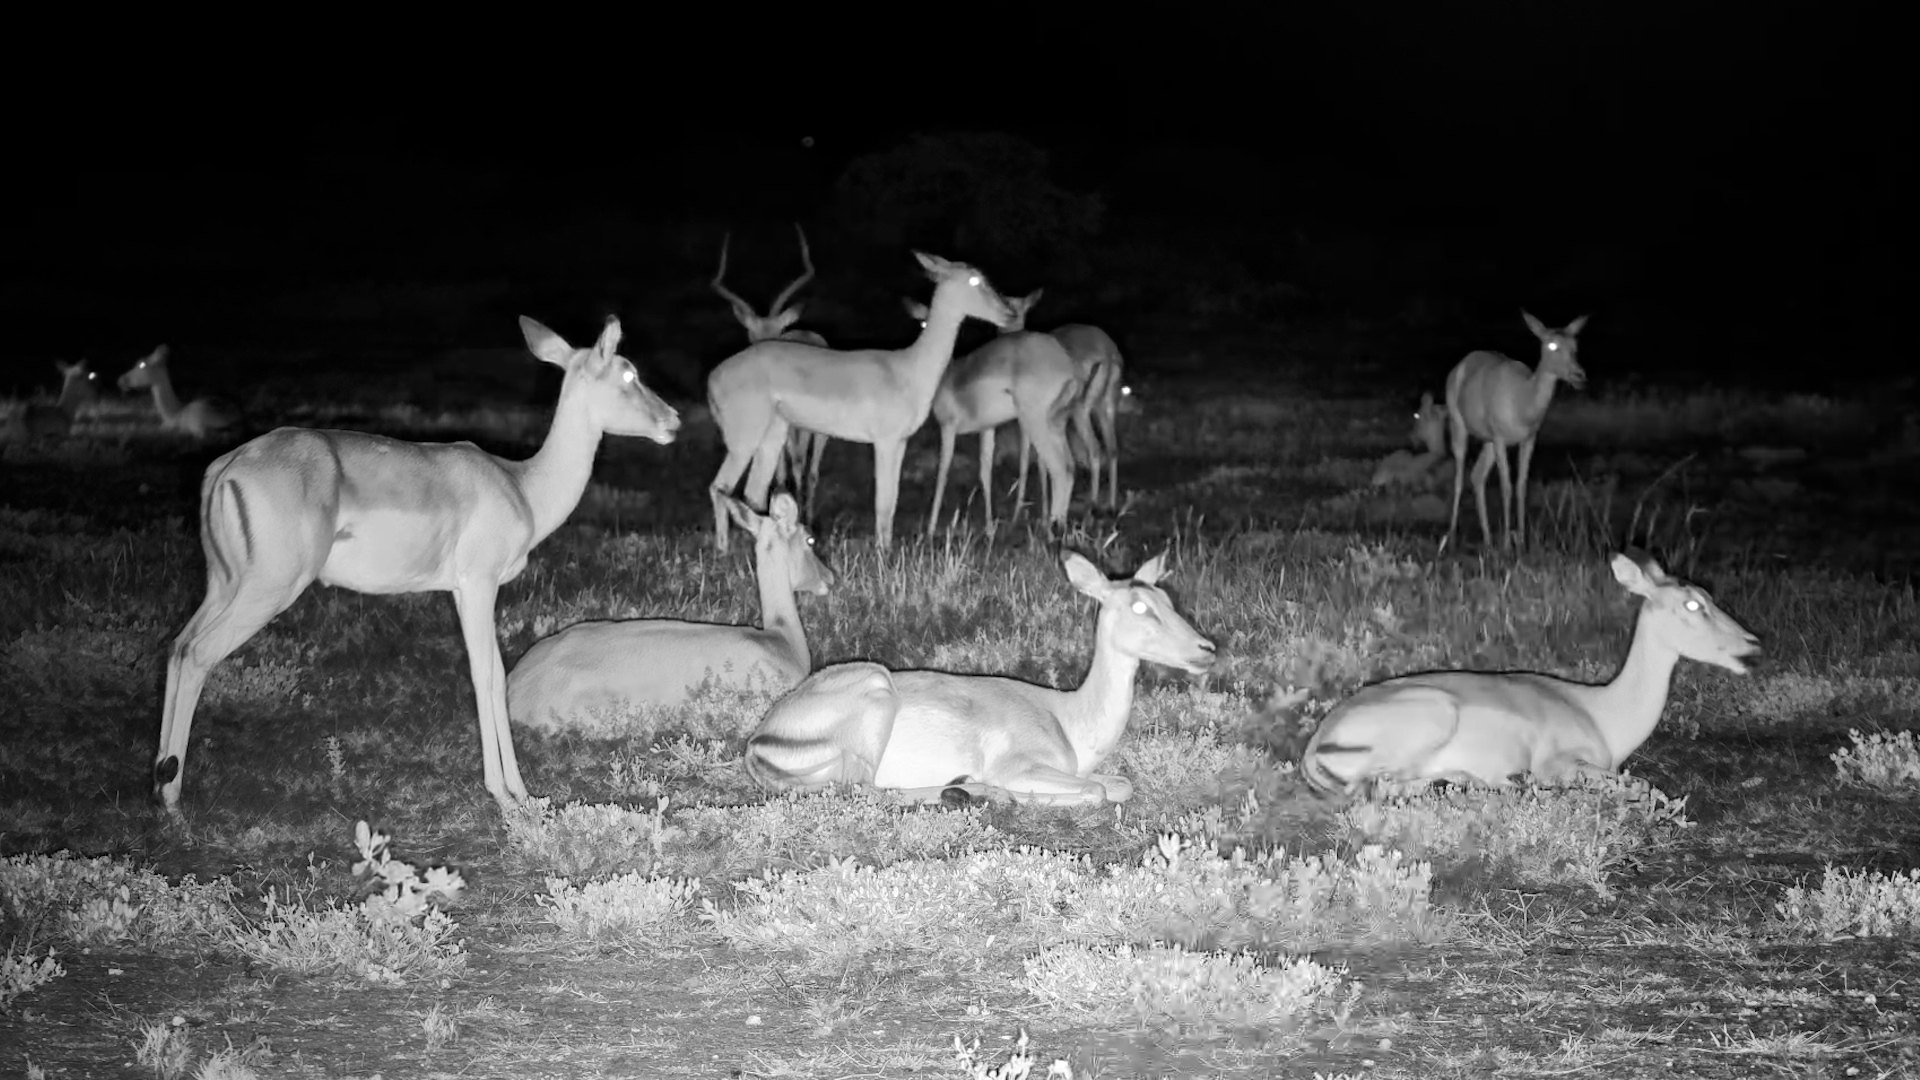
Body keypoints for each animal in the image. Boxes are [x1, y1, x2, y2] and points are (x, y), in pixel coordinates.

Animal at [743, 550, 1216, 806]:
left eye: (1167, 599)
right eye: (1139, 606)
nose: (1206, 650)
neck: (1068, 718)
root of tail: (759, 739)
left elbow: (1119, 785)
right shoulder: (1021, 766)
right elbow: (1094, 793)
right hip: (875, 695)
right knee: (865, 790)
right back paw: (969, 790)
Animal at [1302, 553, 1758, 794]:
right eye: (1693, 604)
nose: (1751, 643)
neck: (1603, 713)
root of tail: (1319, 742)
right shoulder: (1558, 762)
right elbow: (1642, 786)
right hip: (1434, 716)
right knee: (1383, 784)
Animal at [1440, 312, 1588, 551]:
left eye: (1575, 345)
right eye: (1552, 345)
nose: (1579, 376)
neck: (1523, 402)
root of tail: (1459, 366)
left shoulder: (1528, 440)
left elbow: (1521, 486)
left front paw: (1521, 543)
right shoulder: (1501, 439)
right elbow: (1506, 487)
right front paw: (1507, 546)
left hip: (1488, 442)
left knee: (1477, 475)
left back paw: (1488, 540)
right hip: (1459, 426)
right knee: (1459, 478)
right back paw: (1452, 539)